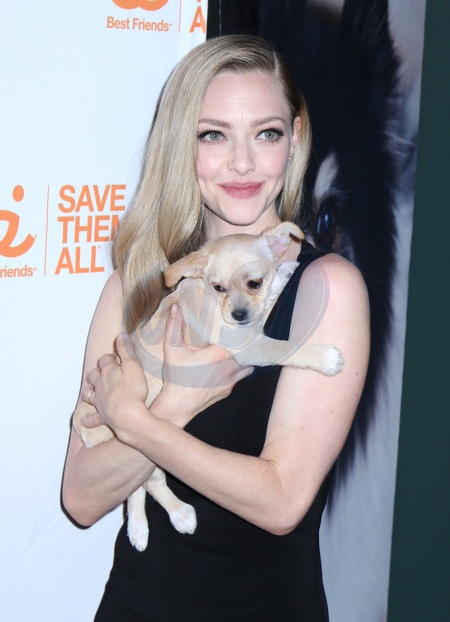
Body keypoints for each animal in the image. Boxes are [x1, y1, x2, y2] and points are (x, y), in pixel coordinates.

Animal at [73, 222, 344, 551]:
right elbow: (285, 347)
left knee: (137, 488)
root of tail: (78, 419)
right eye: (219, 288)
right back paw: (175, 515)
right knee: (149, 482)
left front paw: (284, 272)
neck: (204, 293)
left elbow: (267, 300)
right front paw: (323, 356)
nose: (238, 314)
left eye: (254, 283)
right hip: (139, 441)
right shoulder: (247, 344)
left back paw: (139, 526)